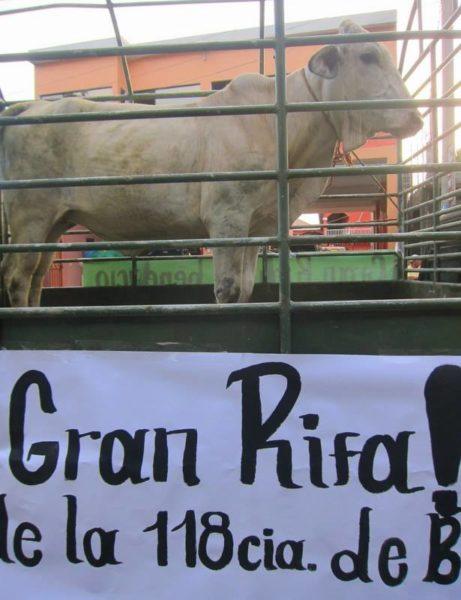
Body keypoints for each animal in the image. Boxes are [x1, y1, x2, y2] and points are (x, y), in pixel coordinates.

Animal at [0, 21, 420, 308]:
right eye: (367, 55)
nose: (415, 117)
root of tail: (28, 109)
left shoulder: (255, 227)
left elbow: (245, 288)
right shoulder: (227, 218)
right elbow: (228, 289)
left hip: (54, 222)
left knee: (36, 276)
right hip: (30, 216)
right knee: (17, 277)